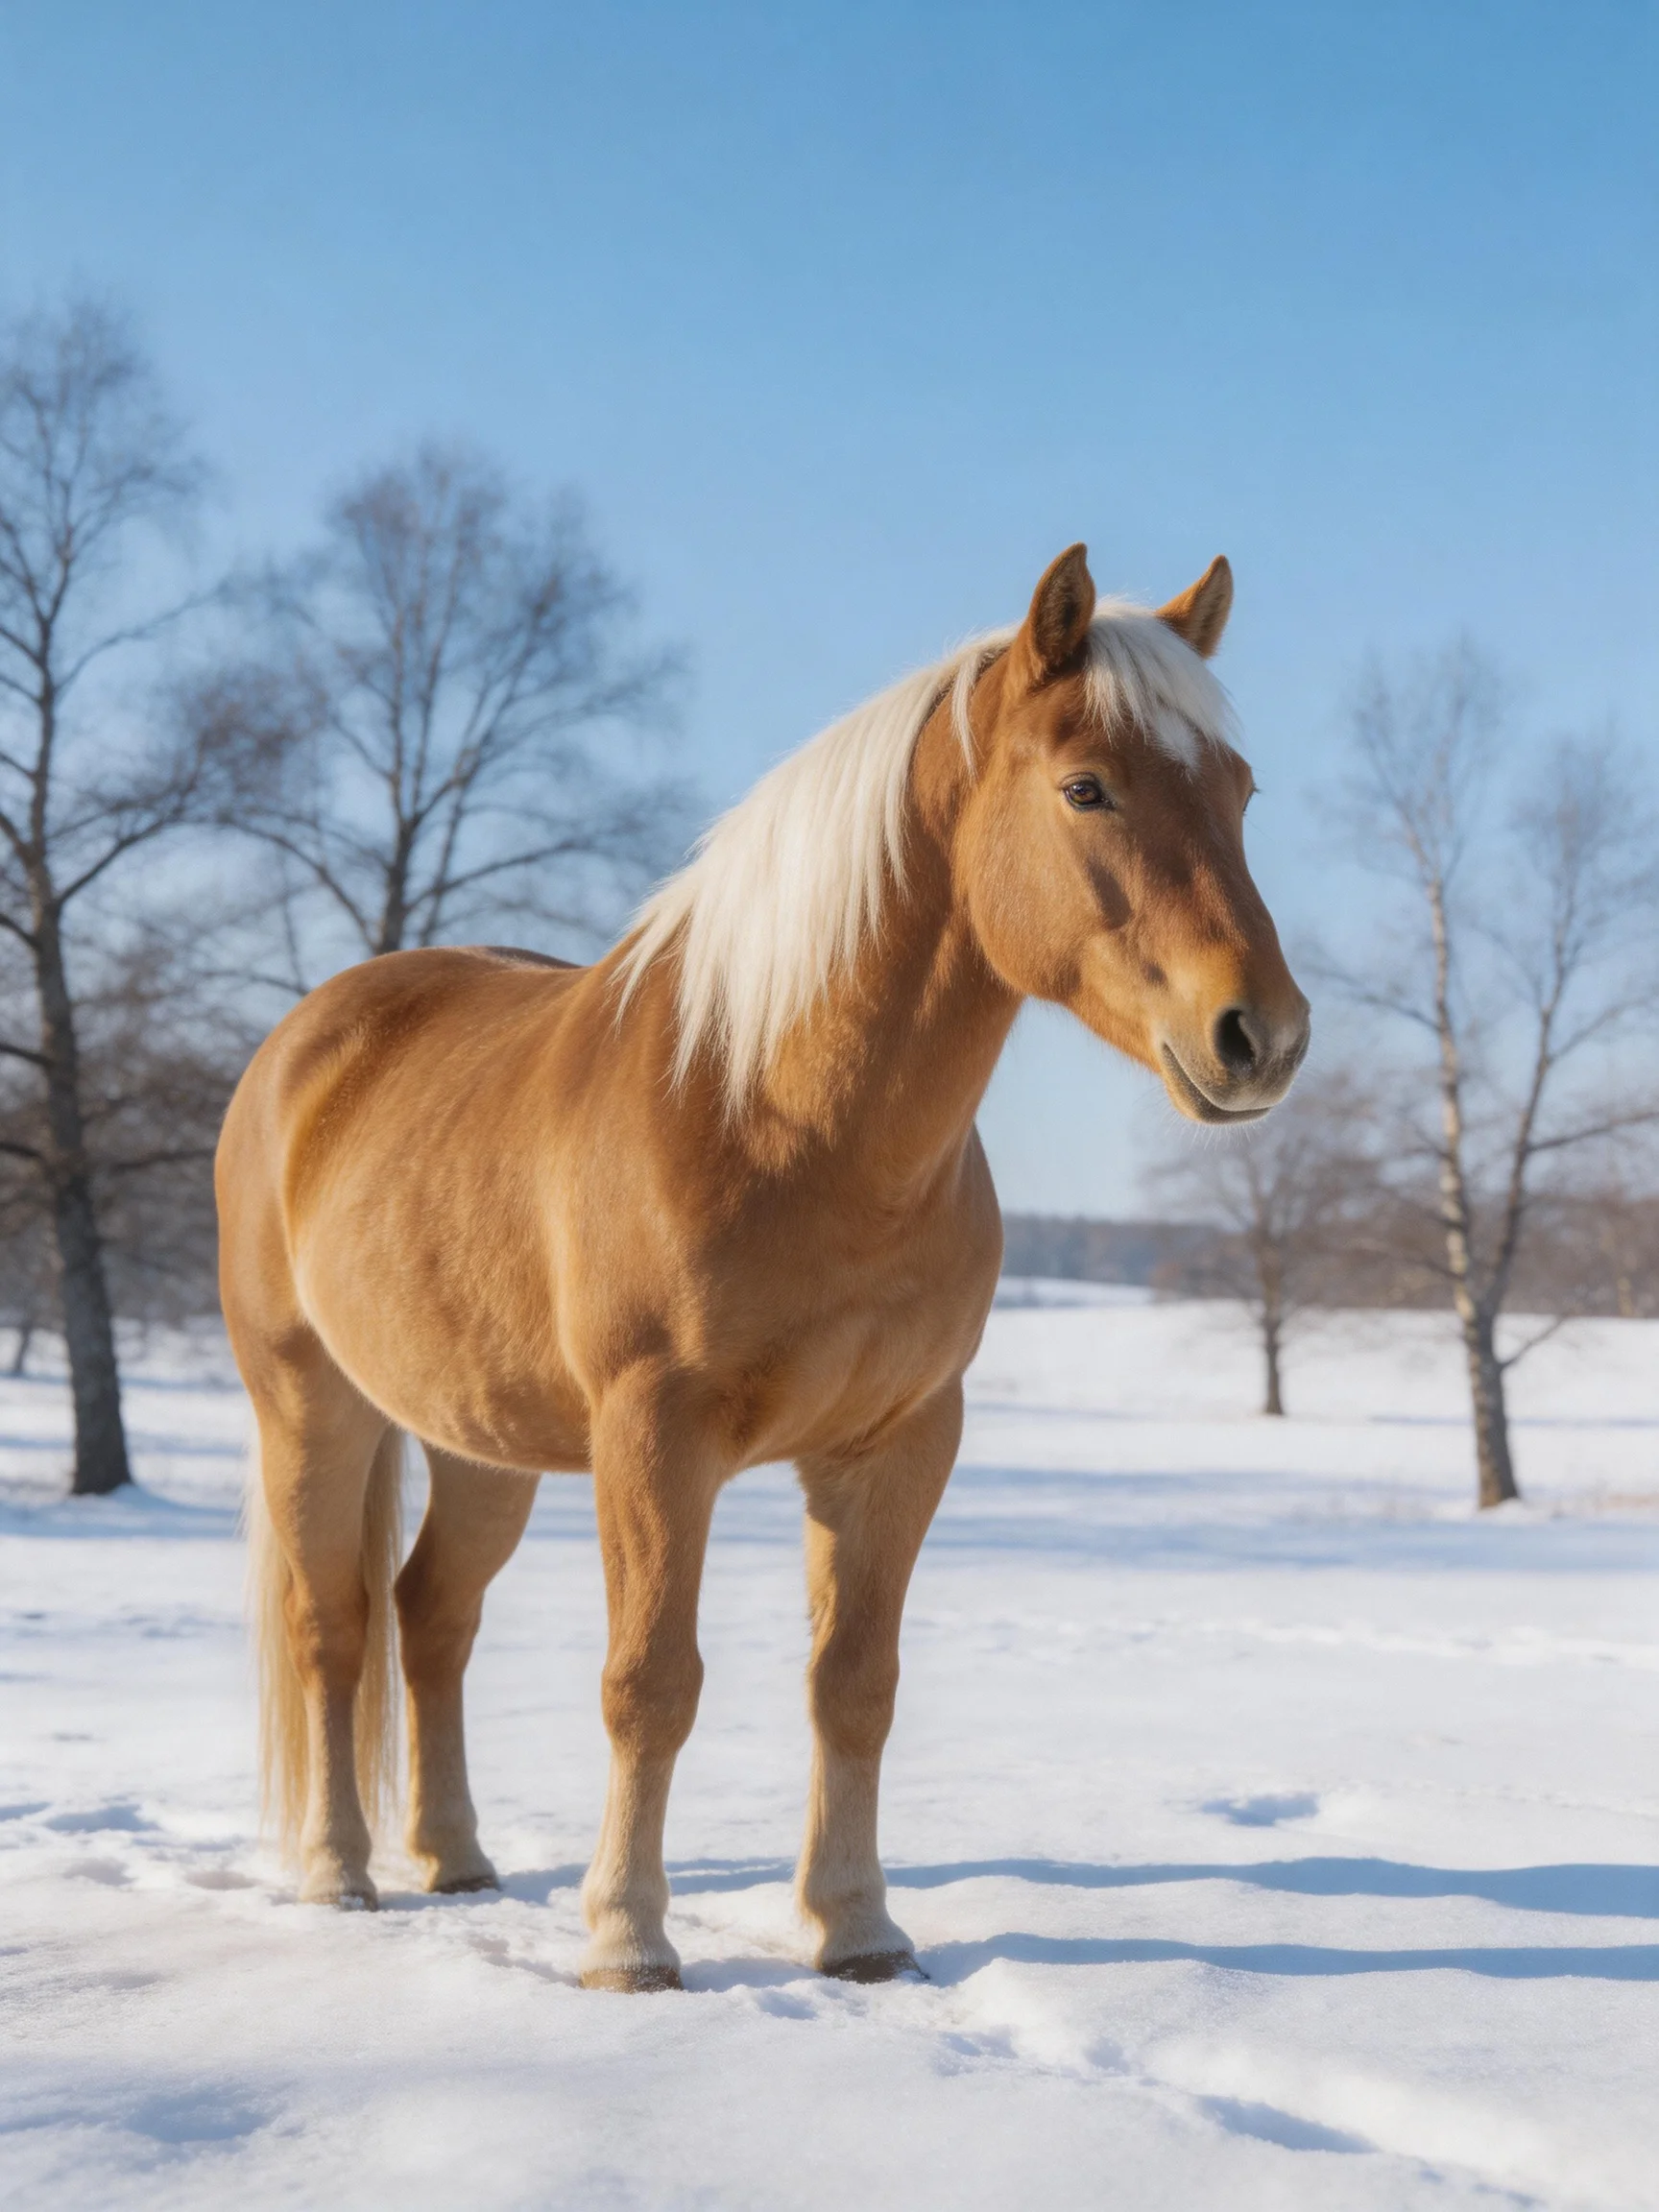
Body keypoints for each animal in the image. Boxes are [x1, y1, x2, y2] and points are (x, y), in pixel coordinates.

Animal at [220, 542, 1309, 1991]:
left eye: (1241, 789)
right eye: (1087, 786)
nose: (1263, 1035)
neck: (776, 1115)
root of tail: (307, 1041)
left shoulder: (897, 1443)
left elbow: (854, 1682)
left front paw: (858, 1930)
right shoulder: (654, 1437)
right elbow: (650, 1683)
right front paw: (629, 1942)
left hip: (480, 1441)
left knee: (430, 1615)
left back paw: (455, 1860)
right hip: (311, 1403)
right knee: (333, 1625)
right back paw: (340, 1875)